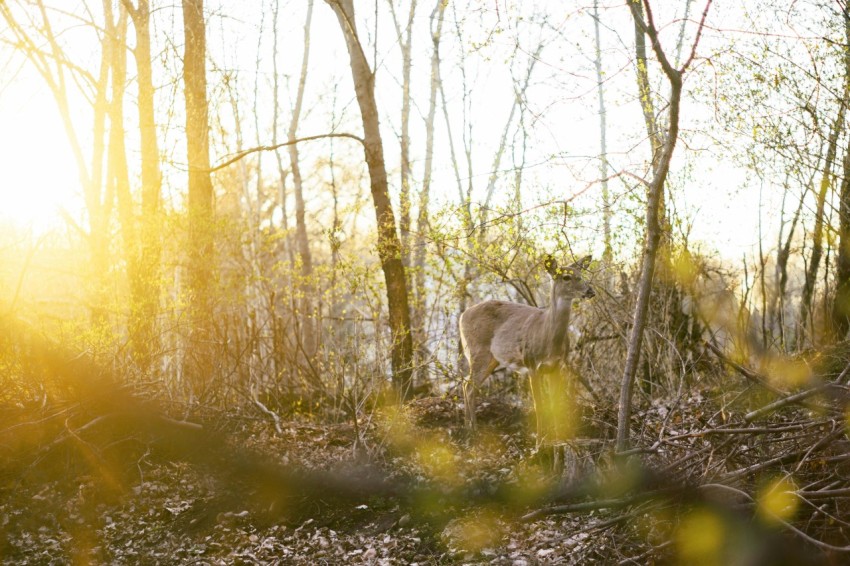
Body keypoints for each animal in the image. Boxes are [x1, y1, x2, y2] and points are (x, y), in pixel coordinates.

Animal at [459, 255, 595, 440]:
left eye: (580, 274)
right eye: (566, 277)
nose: (590, 291)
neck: (548, 337)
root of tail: (462, 315)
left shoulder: (557, 366)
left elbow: (555, 404)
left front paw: (558, 439)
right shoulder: (531, 363)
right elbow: (538, 405)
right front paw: (539, 440)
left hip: (492, 359)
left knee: (468, 384)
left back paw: (470, 428)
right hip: (477, 351)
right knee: (469, 385)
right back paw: (471, 430)